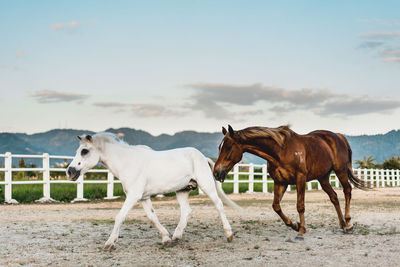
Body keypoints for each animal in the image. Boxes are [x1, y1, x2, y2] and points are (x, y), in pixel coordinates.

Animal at [67, 133, 239, 251]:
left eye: (84, 151)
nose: (70, 172)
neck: (128, 162)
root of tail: (203, 157)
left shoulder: (133, 196)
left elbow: (119, 217)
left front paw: (109, 243)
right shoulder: (143, 198)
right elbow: (152, 217)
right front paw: (166, 239)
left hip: (206, 185)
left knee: (219, 205)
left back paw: (229, 235)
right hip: (182, 190)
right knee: (186, 211)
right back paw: (176, 237)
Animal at [214, 125, 370, 241]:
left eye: (228, 147)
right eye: (219, 147)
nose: (216, 172)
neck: (280, 151)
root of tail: (338, 136)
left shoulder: (300, 179)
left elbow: (300, 206)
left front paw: (301, 231)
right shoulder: (280, 182)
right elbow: (276, 206)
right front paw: (295, 225)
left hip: (340, 171)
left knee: (347, 191)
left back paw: (348, 224)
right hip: (323, 178)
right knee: (334, 197)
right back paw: (342, 225)